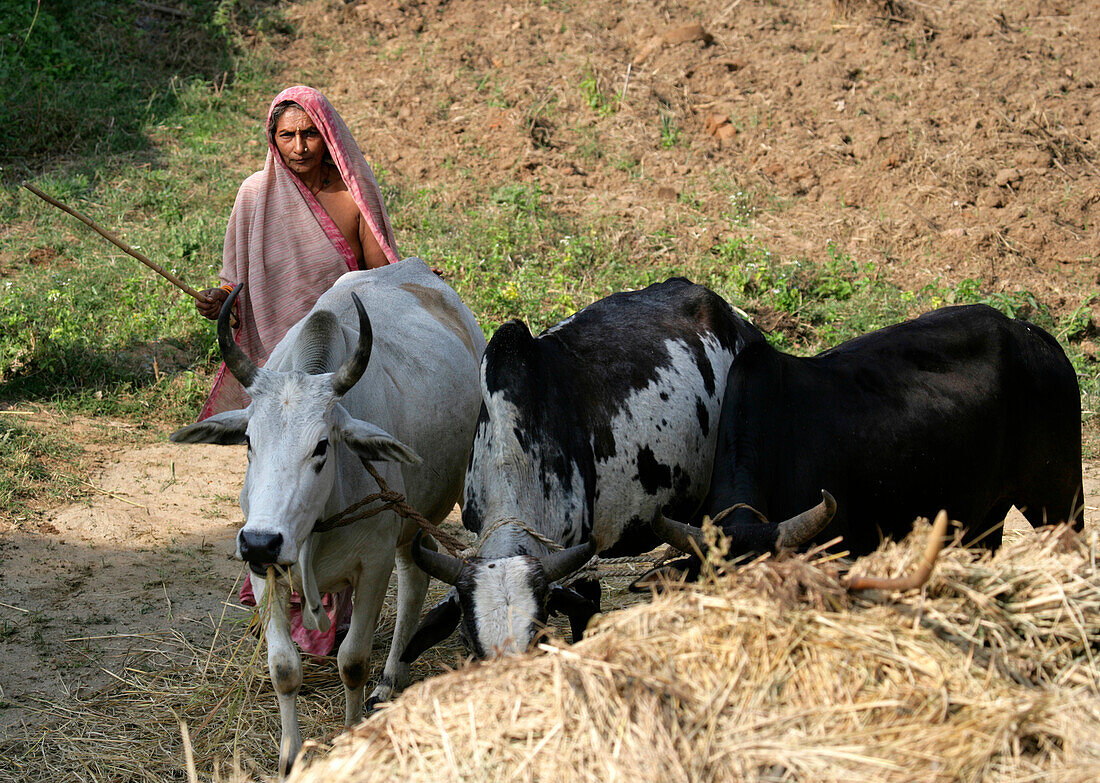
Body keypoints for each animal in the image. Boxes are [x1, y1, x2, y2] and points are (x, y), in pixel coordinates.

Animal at [168, 259, 486, 774]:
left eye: (321, 446)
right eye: (249, 440)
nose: (260, 541)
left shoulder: (373, 565)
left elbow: (352, 662)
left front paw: (351, 735)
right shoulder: (263, 573)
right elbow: (283, 669)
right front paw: (289, 757)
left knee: (421, 577)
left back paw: (389, 678)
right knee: (417, 573)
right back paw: (392, 677)